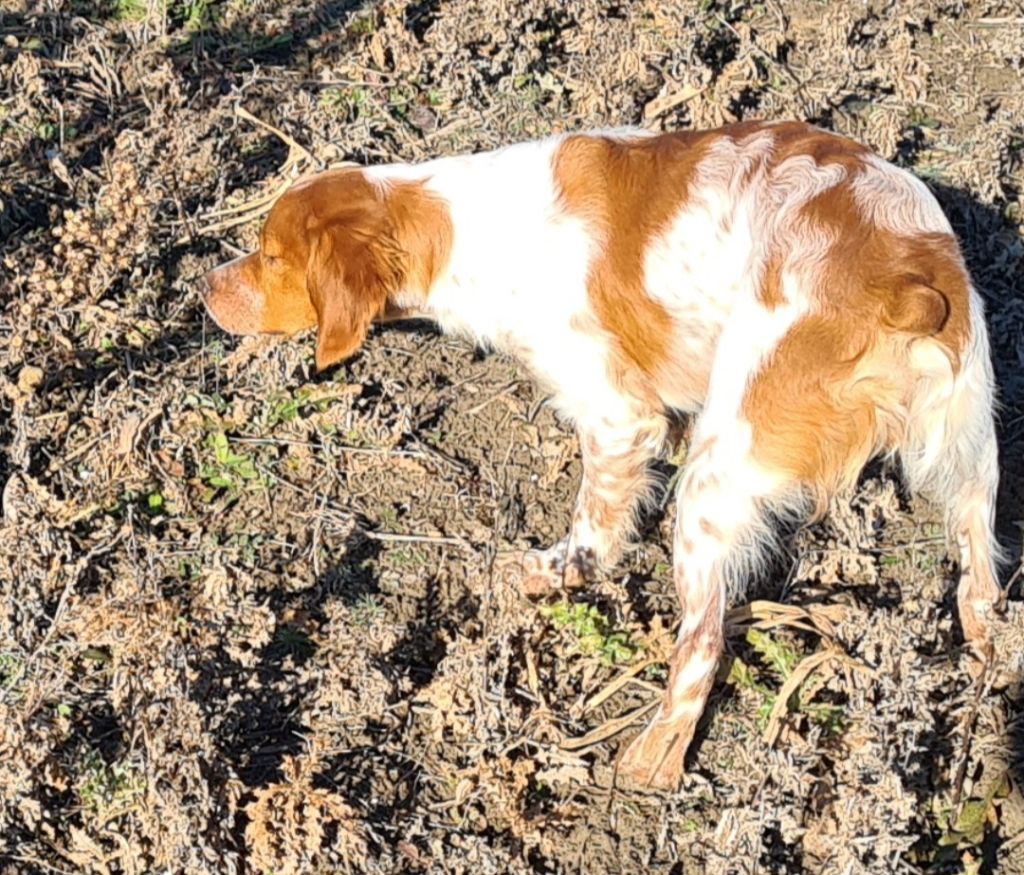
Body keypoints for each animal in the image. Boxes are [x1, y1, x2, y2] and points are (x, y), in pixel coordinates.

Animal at [203, 121, 1003, 795]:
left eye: (271, 257)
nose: (204, 289)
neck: (466, 226)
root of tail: (904, 280)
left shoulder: (620, 415)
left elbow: (594, 525)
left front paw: (552, 574)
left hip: (714, 474)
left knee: (703, 644)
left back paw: (649, 764)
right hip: (972, 451)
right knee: (983, 582)